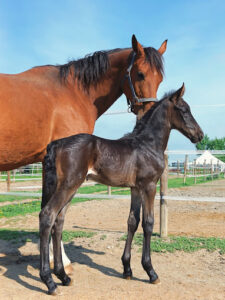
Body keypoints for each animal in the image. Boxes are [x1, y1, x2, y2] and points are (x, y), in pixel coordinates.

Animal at [0, 34, 167, 272]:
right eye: (140, 74)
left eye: (160, 78)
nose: (148, 113)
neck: (73, 92)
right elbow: (54, 213)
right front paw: (61, 263)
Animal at [38, 83, 204, 294]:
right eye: (184, 110)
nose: (200, 135)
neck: (147, 145)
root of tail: (56, 144)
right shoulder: (149, 185)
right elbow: (148, 223)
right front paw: (151, 272)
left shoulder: (135, 188)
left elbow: (132, 221)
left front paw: (127, 269)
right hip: (68, 185)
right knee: (47, 215)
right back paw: (49, 282)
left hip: (70, 188)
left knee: (58, 222)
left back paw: (64, 277)